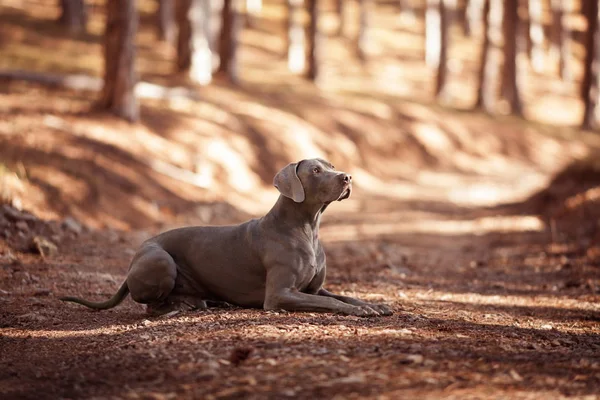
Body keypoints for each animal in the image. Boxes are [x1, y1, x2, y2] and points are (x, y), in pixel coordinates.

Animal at [58, 158, 392, 318]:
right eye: (315, 170)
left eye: (332, 165)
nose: (348, 177)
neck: (307, 227)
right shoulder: (279, 294)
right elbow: (331, 303)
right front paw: (360, 311)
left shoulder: (315, 288)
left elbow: (342, 296)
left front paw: (374, 305)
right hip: (160, 259)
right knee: (150, 304)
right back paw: (180, 307)